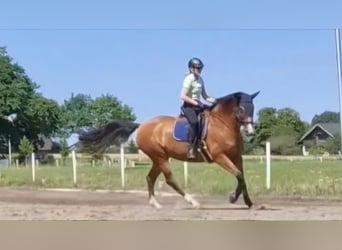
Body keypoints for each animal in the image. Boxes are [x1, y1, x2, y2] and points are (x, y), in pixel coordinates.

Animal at [77, 91, 260, 210]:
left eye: (253, 108)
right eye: (241, 109)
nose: (250, 132)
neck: (223, 125)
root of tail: (142, 125)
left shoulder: (236, 157)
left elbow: (242, 177)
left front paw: (248, 202)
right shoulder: (219, 156)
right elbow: (238, 174)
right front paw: (233, 198)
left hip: (159, 159)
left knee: (150, 178)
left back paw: (155, 204)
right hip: (160, 157)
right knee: (170, 180)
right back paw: (193, 202)